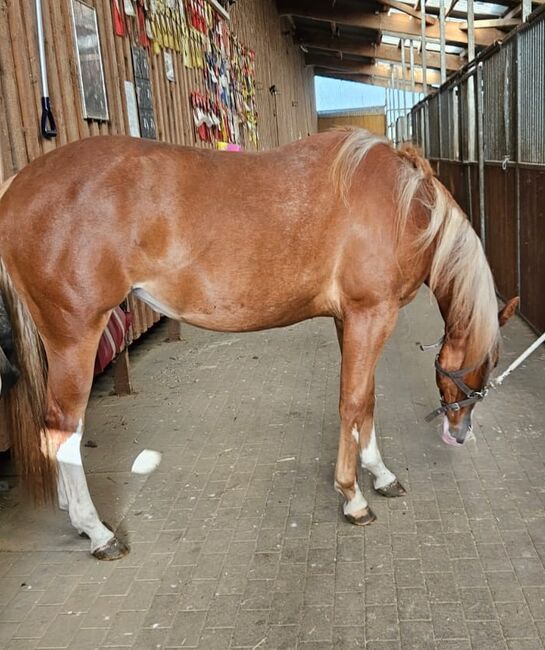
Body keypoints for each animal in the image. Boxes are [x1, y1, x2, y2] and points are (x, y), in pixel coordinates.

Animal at [0, 130, 516, 556]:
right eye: (486, 363)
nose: (459, 433)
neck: (406, 207)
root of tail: (17, 184)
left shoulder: (351, 319)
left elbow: (366, 398)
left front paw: (380, 474)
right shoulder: (371, 315)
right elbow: (351, 402)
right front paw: (352, 496)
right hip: (75, 336)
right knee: (63, 427)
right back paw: (97, 532)